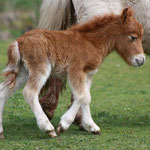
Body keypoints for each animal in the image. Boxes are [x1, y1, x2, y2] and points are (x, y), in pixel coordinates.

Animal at [0, 7, 145, 138]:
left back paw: (1, 132)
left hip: (23, 72)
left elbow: (86, 98)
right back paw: (48, 128)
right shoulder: (75, 71)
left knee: (3, 91)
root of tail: (18, 41)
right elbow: (81, 96)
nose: (141, 60)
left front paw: (91, 127)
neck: (91, 42)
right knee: (29, 92)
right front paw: (63, 125)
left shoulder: (88, 74)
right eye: (133, 37)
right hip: (40, 68)